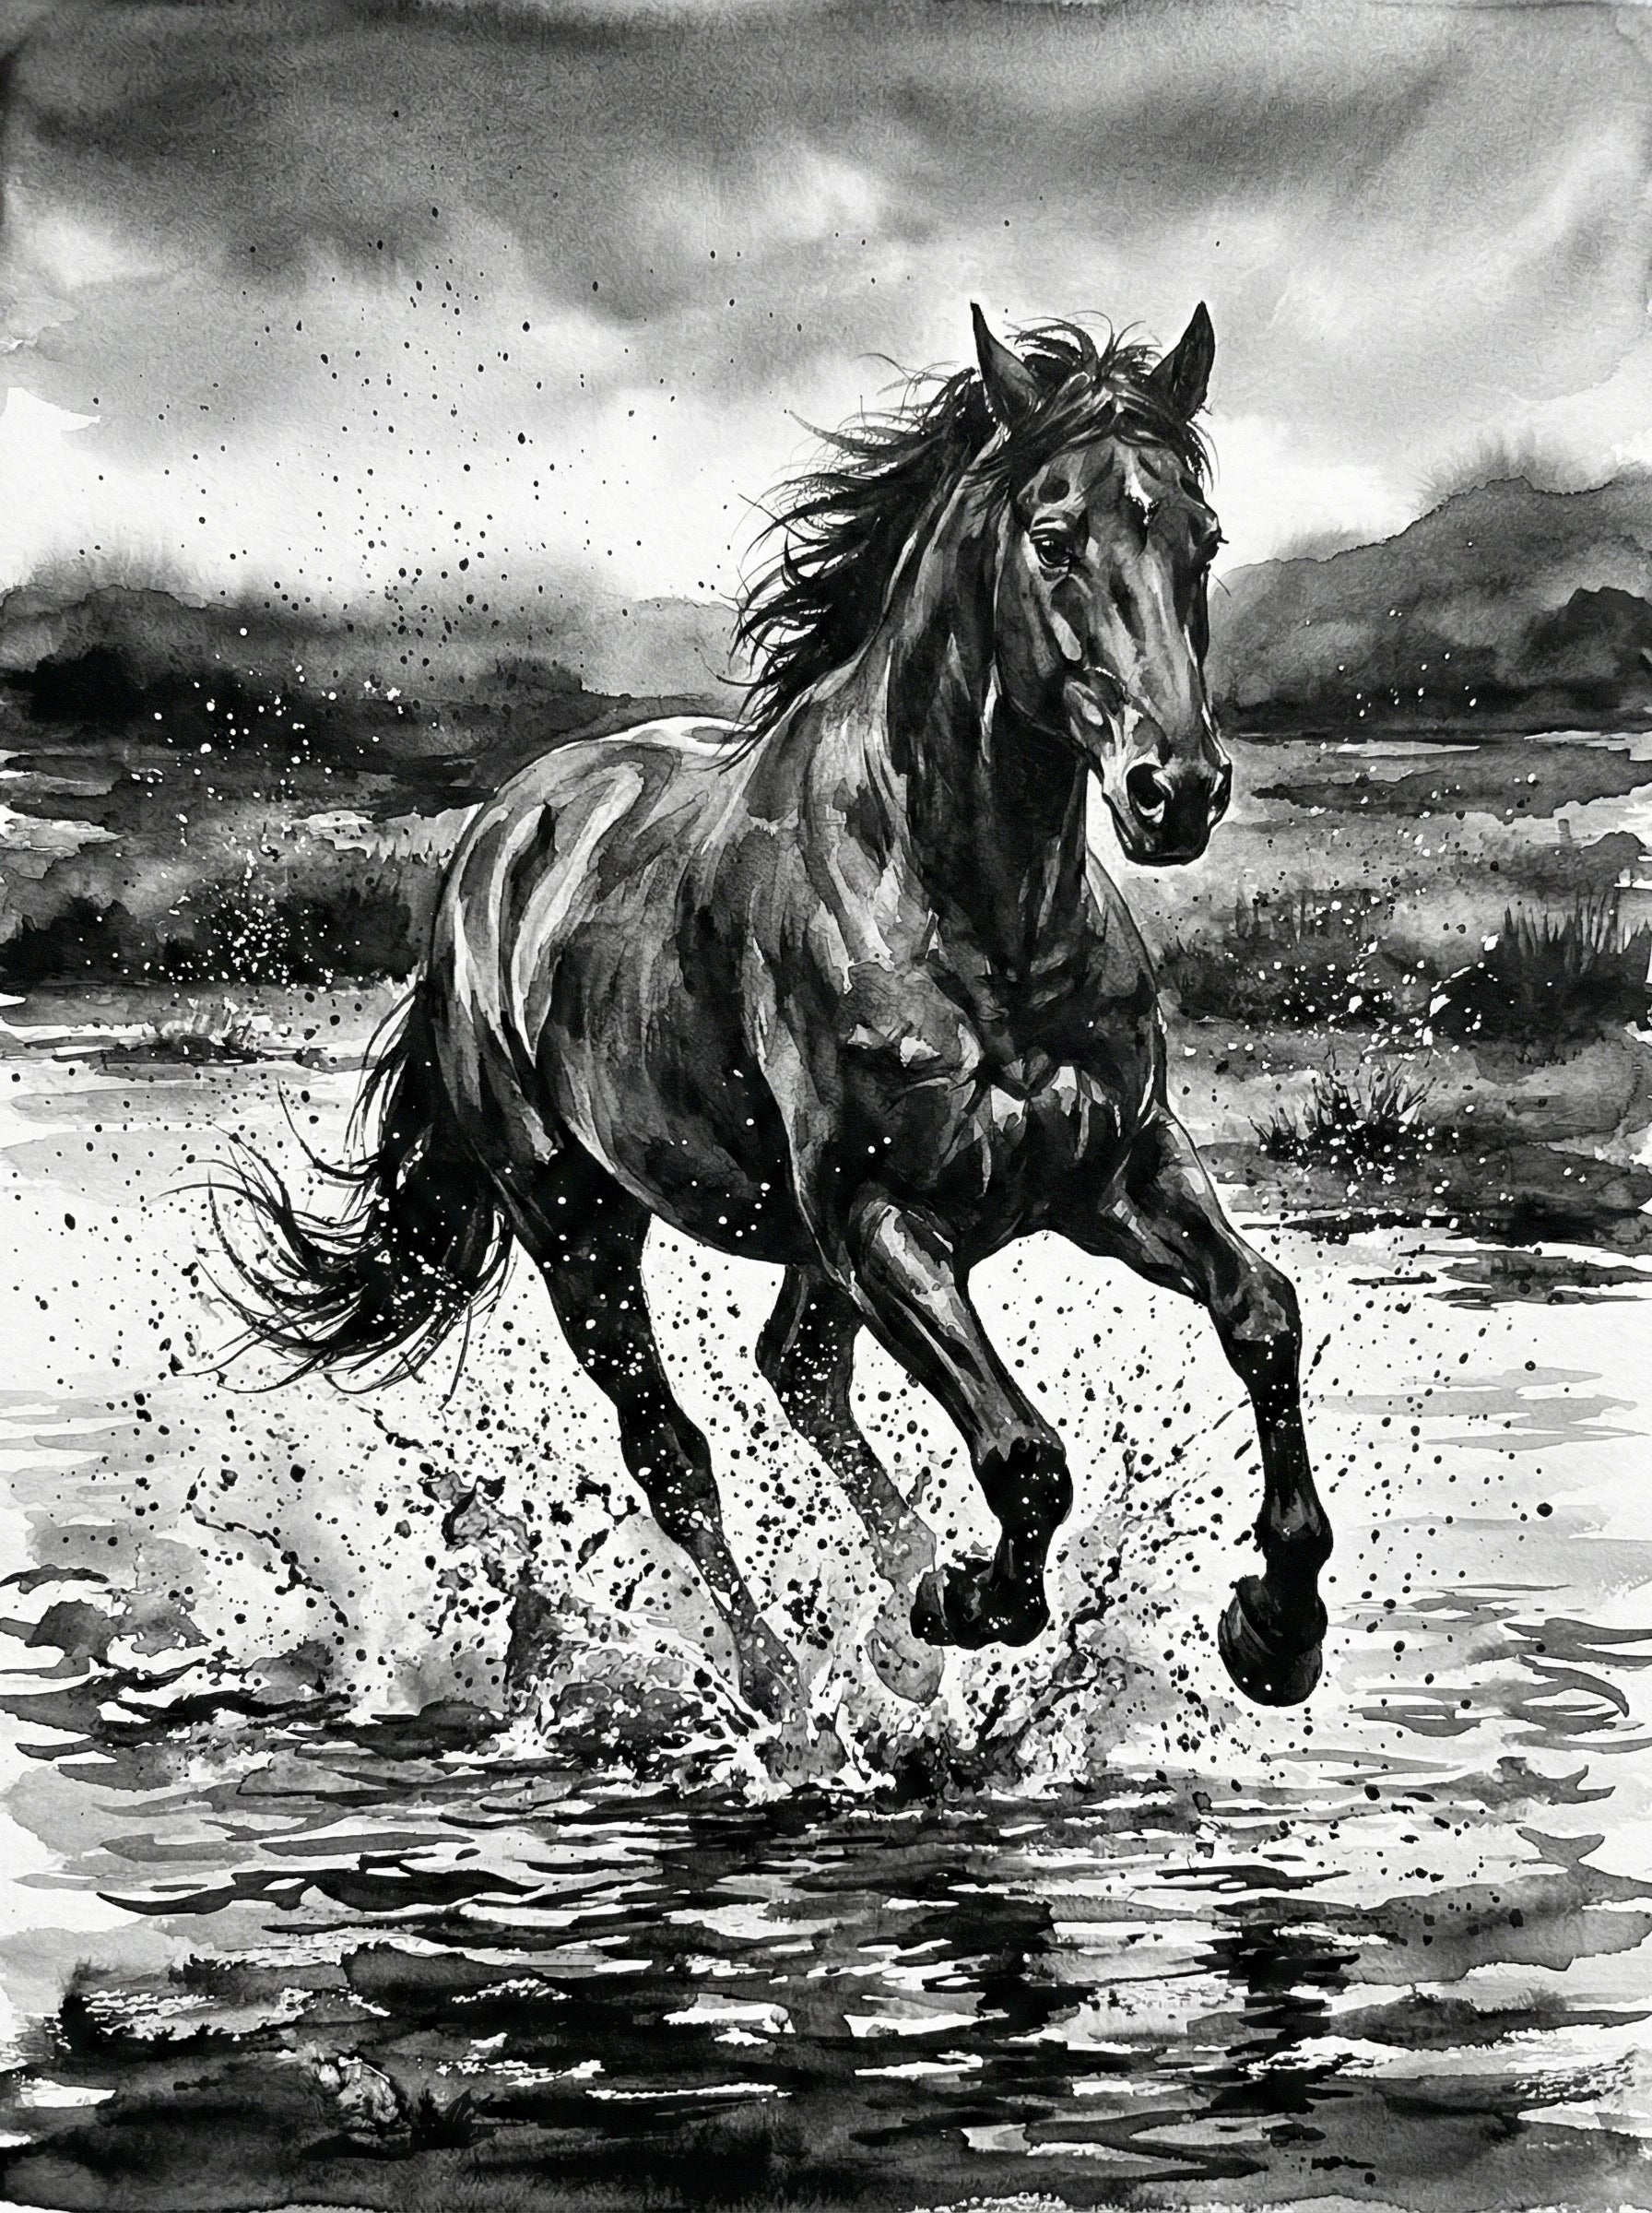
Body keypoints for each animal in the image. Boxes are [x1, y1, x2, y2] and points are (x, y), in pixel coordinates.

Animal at [225, 304, 1332, 1721]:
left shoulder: (1117, 1172)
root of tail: (496, 836)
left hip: (795, 1244)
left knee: (796, 1370)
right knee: (672, 1451)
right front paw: (969, 1601)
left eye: (1203, 537)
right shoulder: (880, 1219)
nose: (1175, 792)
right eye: (1053, 538)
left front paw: (1274, 1629)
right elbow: (1025, 1456)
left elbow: (1262, 1316)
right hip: (579, 1230)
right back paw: (784, 1692)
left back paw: (893, 1638)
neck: (972, 915)